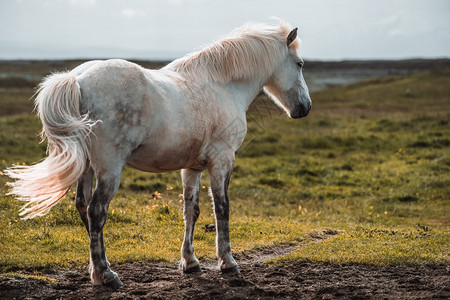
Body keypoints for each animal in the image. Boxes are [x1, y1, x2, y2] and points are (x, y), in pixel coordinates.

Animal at [4, 19, 312, 288]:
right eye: (299, 64)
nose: (304, 108)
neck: (222, 86)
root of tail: (77, 79)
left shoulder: (192, 168)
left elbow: (192, 211)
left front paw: (190, 262)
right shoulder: (222, 160)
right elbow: (222, 209)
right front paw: (227, 262)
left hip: (88, 166)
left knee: (82, 206)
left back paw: (97, 269)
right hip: (109, 168)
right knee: (96, 211)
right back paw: (106, 275)